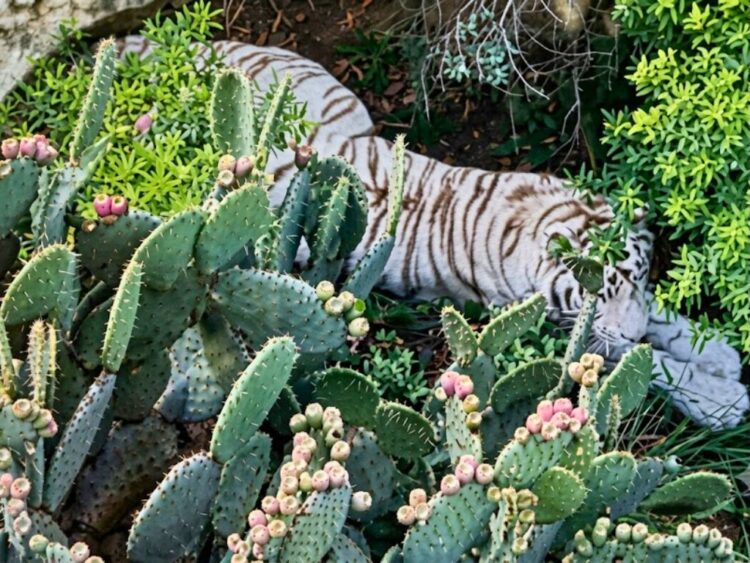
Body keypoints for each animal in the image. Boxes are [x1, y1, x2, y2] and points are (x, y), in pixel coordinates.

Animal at [120, 36, 747, 429]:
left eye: (638, 278)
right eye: (601, 291)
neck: (541, 216)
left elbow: (664, 324)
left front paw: (716, 350)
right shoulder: (565, 327)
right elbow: (645, 360)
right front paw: (723, 397)